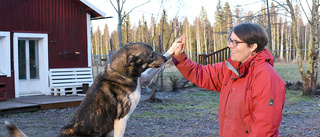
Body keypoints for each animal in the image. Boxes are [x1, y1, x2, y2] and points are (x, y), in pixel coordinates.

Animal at [5, 42, 171, 136]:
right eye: (151, 56)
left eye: (155, 52)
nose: (164, 58)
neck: (122, 73)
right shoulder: (121, 118)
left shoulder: (144, 80)